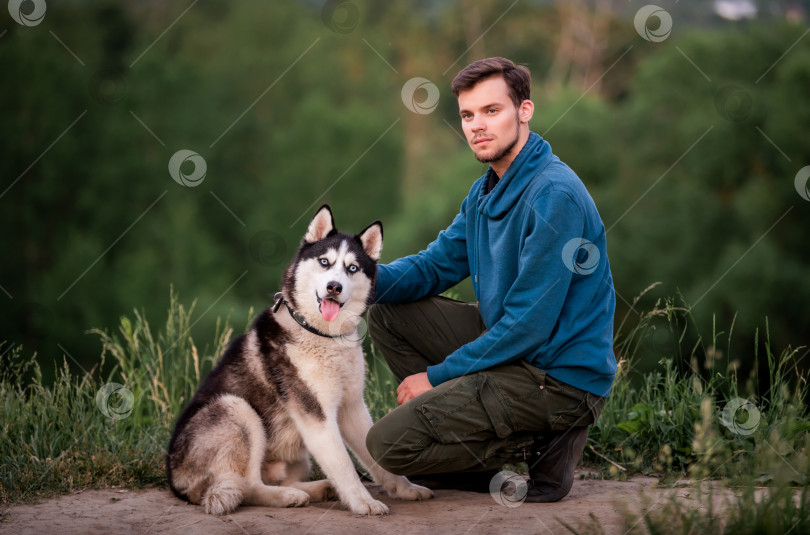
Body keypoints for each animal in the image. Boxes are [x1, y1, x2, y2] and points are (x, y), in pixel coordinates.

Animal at [163, 205, 430, 516]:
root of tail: (175, 481)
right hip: (237, 409)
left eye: (352, 268)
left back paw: (318, 488)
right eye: (325, 262)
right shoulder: (316, 414)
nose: (334, 287)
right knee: (248, 486)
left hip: (294, 456)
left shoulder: (352, 406)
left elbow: (375, 456)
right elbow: (344, 465)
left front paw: (405, 489)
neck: (323, 335)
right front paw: (363, 501)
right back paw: (286, 496)